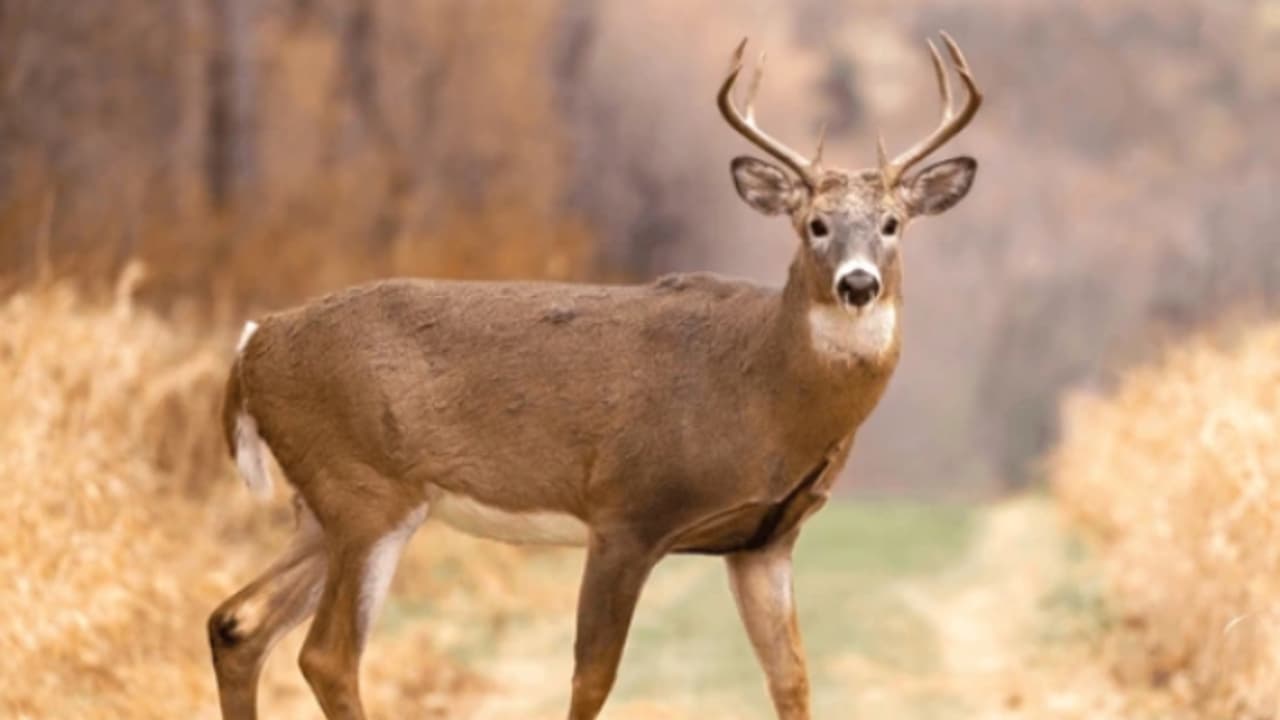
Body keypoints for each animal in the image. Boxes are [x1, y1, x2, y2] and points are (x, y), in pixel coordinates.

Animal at [207, 32, 982, 720]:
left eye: (892, 223)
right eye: (815, 224)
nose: (858, 284)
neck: (764, 390)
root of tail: (252, 345)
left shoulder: (764, 541)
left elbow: (792, 681)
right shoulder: (627, 512)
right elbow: (592, 680)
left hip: (323, 504)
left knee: (237, 623)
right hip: (366, 489)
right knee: (326, 655)